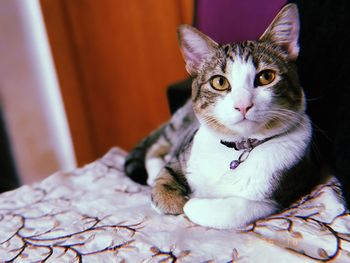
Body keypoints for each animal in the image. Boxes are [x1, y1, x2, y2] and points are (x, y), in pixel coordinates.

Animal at [123, 4, 320, 230]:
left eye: (266, 77)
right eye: (219, 82)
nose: (243, 105)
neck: (237, 148)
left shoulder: (282, 190)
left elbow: (232, 211)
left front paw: (193, 203)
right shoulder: (182, 154)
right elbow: (165, 183)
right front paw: (171, 194)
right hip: (179, 125)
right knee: (156, 147)